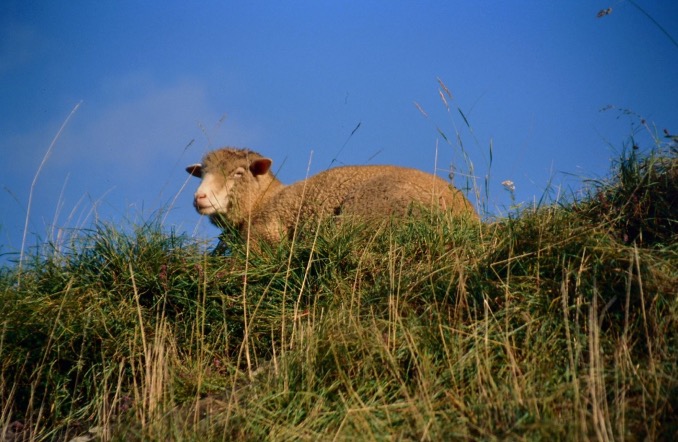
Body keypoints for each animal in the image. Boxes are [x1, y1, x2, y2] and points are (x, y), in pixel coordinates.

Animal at [189, 147, 480, 243]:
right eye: (202, 173)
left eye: (238, 173)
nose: (199, 198)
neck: (262, 201)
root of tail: (469, 217)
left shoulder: (265, 232)